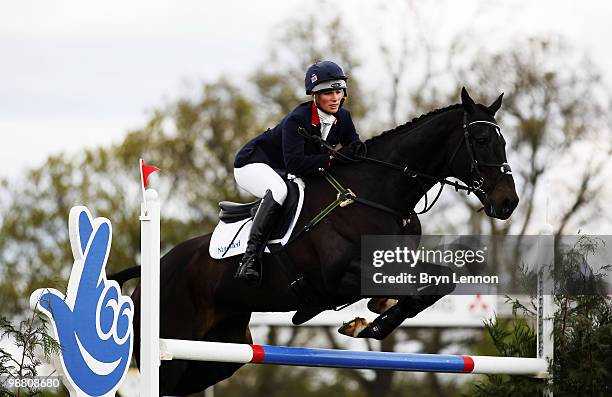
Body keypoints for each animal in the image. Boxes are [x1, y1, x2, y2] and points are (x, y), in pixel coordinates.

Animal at [126, 88, 520, 394]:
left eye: (503, 141)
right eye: (481, 140)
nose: (508, 203)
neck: (379, 192)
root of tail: (153, 270)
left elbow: (440, 280)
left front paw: (373, 318)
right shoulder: (339, 276)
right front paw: (372, 324)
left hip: (215, 355)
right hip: (170, 350)